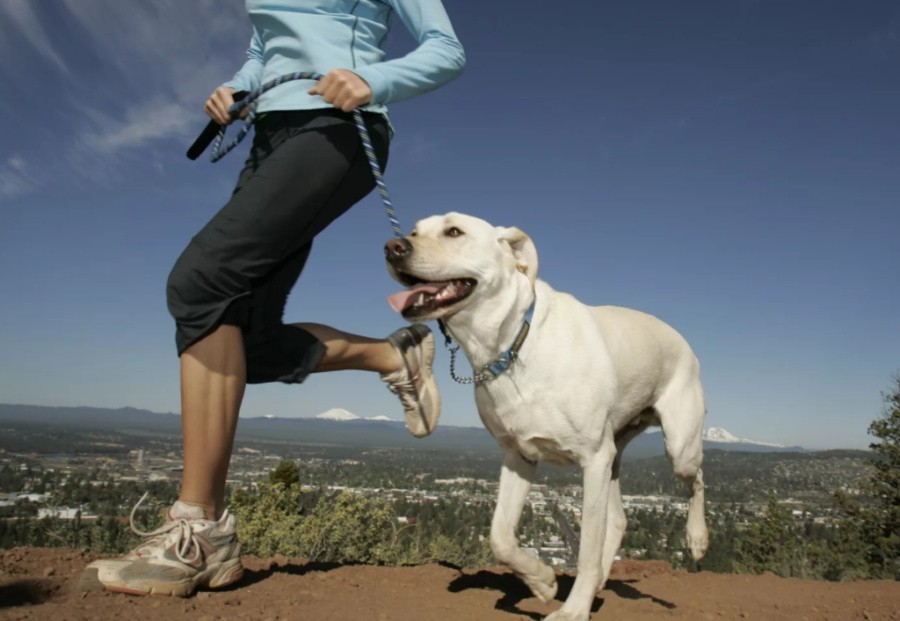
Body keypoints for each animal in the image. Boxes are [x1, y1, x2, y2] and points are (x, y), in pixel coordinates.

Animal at [384, 213, 708, 620]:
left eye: (454, 231)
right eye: (413, 231)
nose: (392, 247)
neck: (512, 345)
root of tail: (680, 338)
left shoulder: (592, 459)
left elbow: (585, 550)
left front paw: (573, 609)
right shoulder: (518, 456)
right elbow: (500, 536)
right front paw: (542, 581)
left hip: (677, 447)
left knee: (697, 479)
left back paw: (697, 539)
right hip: (614, 456)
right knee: (619, 518)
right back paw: (599, 582)